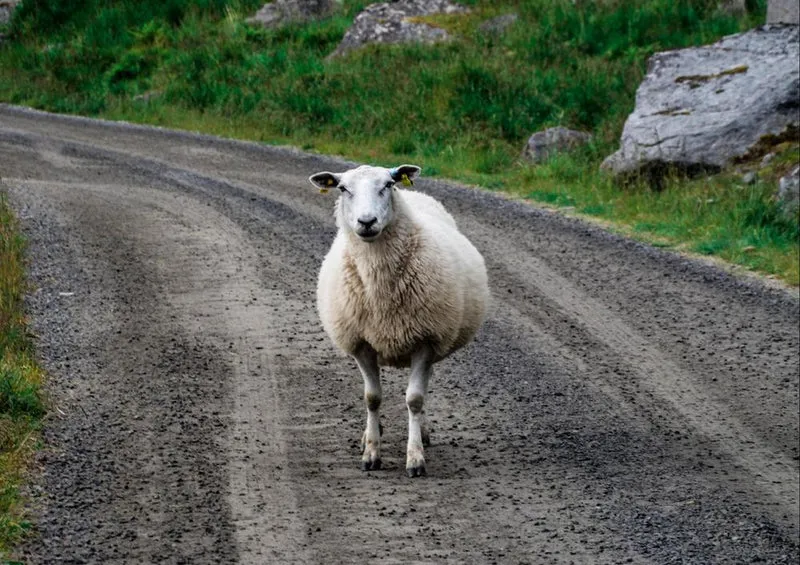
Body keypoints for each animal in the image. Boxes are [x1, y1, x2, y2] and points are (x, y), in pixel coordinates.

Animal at [309, 164, 489, 477]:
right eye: (343, 188)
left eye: (388, 185)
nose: (366, 221)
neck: (380, 285)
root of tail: (416, 194)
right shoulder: (361, 344)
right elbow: (372, 398)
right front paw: (371, 453)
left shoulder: (426, 340)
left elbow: (414, 399)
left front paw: (415, 458)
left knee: (423, 388)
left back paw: (423, 433)